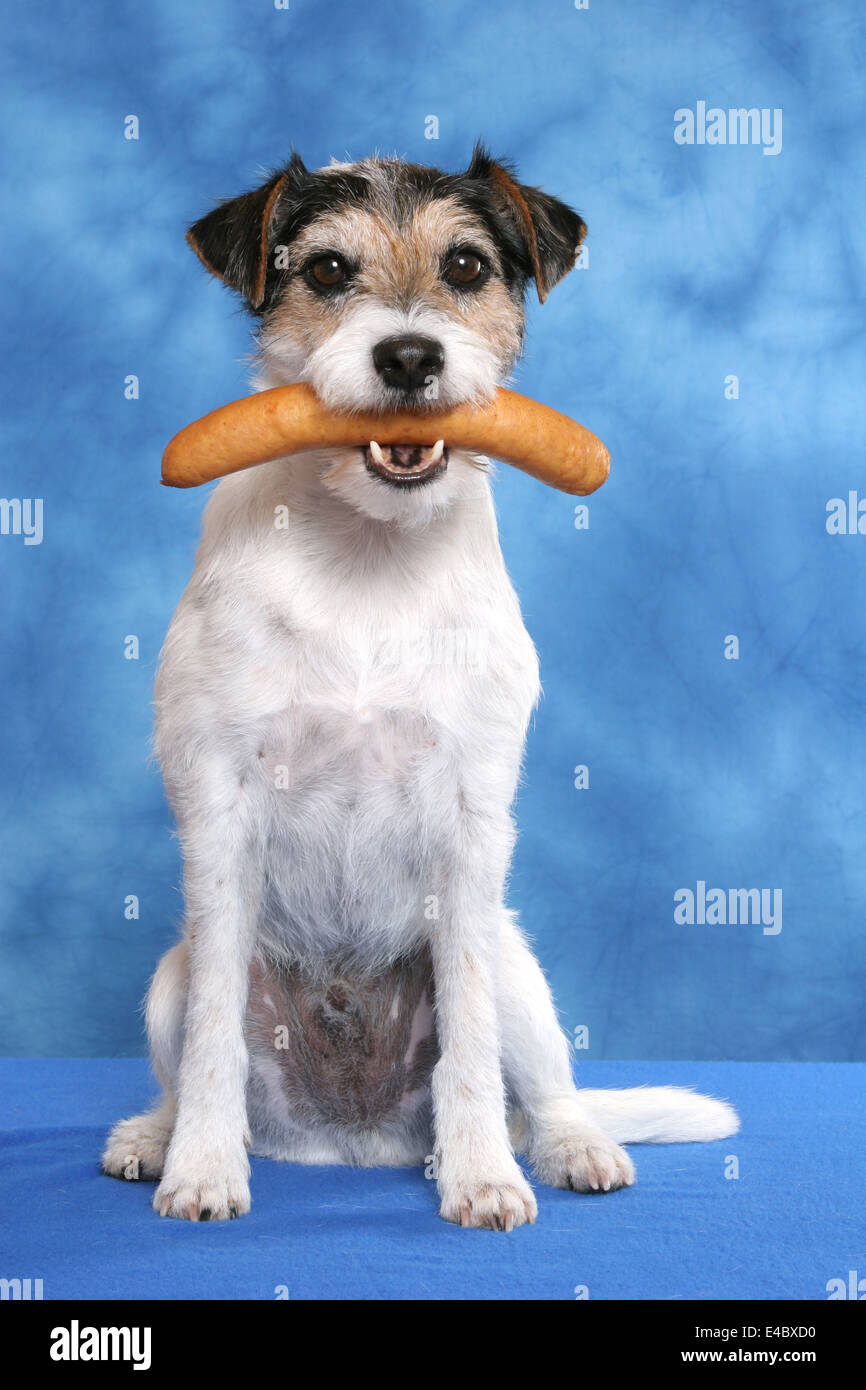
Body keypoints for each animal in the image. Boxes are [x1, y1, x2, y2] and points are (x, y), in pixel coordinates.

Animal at [103, 143, 739, 1228]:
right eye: (324, 270)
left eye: (467, 266)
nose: (408, 357)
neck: (368, 551)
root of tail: (347, 1142)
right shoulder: (219, 806)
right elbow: (213, 1040)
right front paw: (202, 1168)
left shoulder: (472, 817)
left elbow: (468, 1042)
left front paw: (481, 1173)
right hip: (166, 978)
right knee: (182, 1060)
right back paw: (157, 1134)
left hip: (522, 974)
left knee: (544, 1088)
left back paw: (564, 1146)